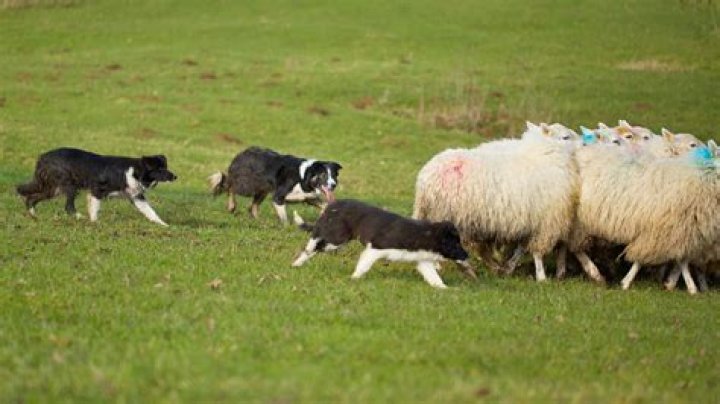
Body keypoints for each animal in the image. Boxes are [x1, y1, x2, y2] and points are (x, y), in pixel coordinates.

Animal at [413, 122, 580, 281]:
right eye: (565, 137)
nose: (583, 142)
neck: (545, 156)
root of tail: (426, 179)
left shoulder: (527, 223)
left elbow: (521, 249)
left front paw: (508, 268)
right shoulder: (544, 222)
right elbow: (536, 252)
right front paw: (541, 277)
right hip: (454, 217)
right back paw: (470, 271)